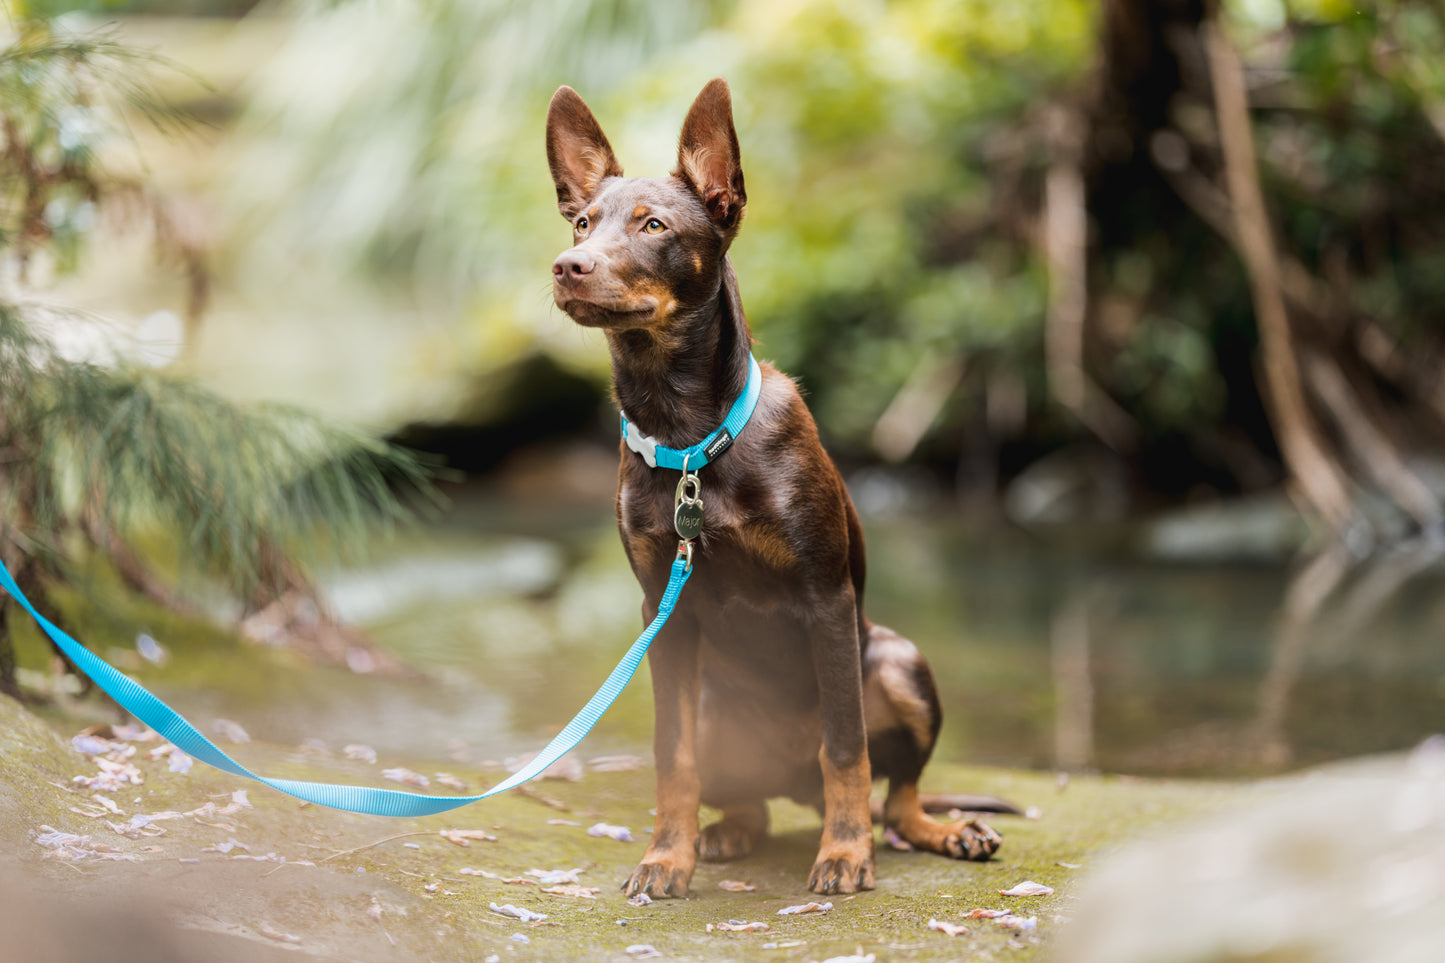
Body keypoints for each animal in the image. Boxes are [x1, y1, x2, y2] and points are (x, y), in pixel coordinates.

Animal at [546, 78, 999, 896]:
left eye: (654, 224)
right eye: (582, 222)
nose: (568, 266)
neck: (689, 435)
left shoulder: (827, 598)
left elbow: (846, 747)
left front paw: (844, 853)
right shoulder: (661, 615)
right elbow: (671, 758)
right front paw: (666, 856)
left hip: (898, 660)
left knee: (897, 794)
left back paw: (939, 830)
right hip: (714, 700)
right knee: (745, 796)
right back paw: (725, 833)